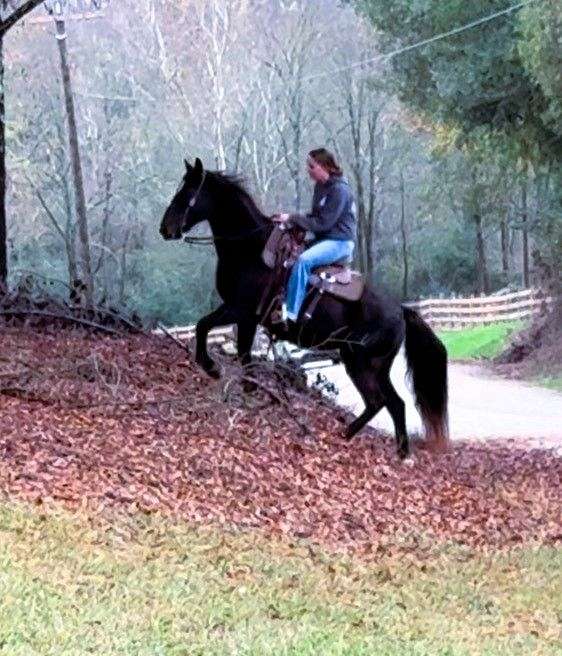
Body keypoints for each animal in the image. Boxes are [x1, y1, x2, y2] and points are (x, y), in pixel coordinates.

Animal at [159, 160, 446, 458]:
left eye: (187, 193)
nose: (165, 228)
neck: (250, 248)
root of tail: (400, 310)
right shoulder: (246, 318)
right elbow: (243, 354)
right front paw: (249, 388)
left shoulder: (239, 310)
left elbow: (204, 326)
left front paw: (212, 368)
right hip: (374, 366)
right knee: (393, 403)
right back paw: (388, 448)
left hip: (362, 363)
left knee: (380, 402)